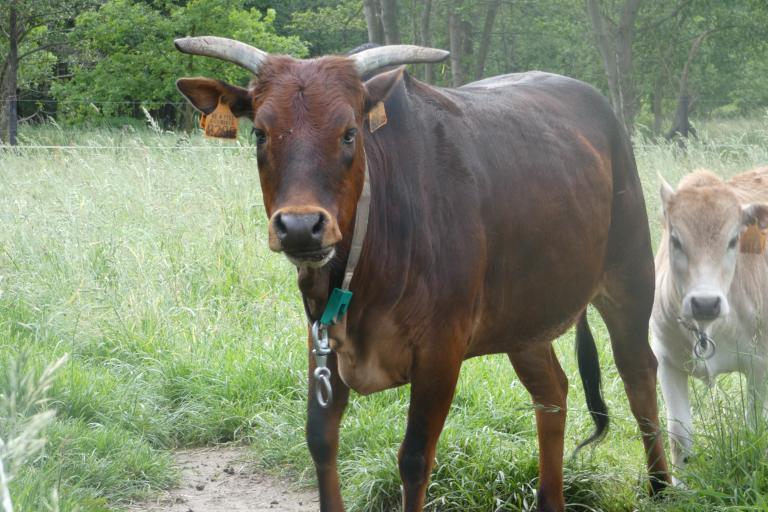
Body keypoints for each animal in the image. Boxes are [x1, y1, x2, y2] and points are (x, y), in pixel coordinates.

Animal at [174, 37, 664, 512]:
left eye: (349, 132)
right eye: (260, 132)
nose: (299, 226)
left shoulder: (440, 353)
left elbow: (413, 459)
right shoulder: (321, 341)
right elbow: (320, 440)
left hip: (631, 276)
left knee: (638, 370)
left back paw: (661, 485)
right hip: (525, 320)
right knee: (552, 391)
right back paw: (551, 500)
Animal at [652, 168, 768, 484]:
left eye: (733, 240)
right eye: (676, 239)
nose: (705, 303)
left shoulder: (760, 364)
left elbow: (754, 428)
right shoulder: (666, 361)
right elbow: (679, 435)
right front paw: (679, 487)